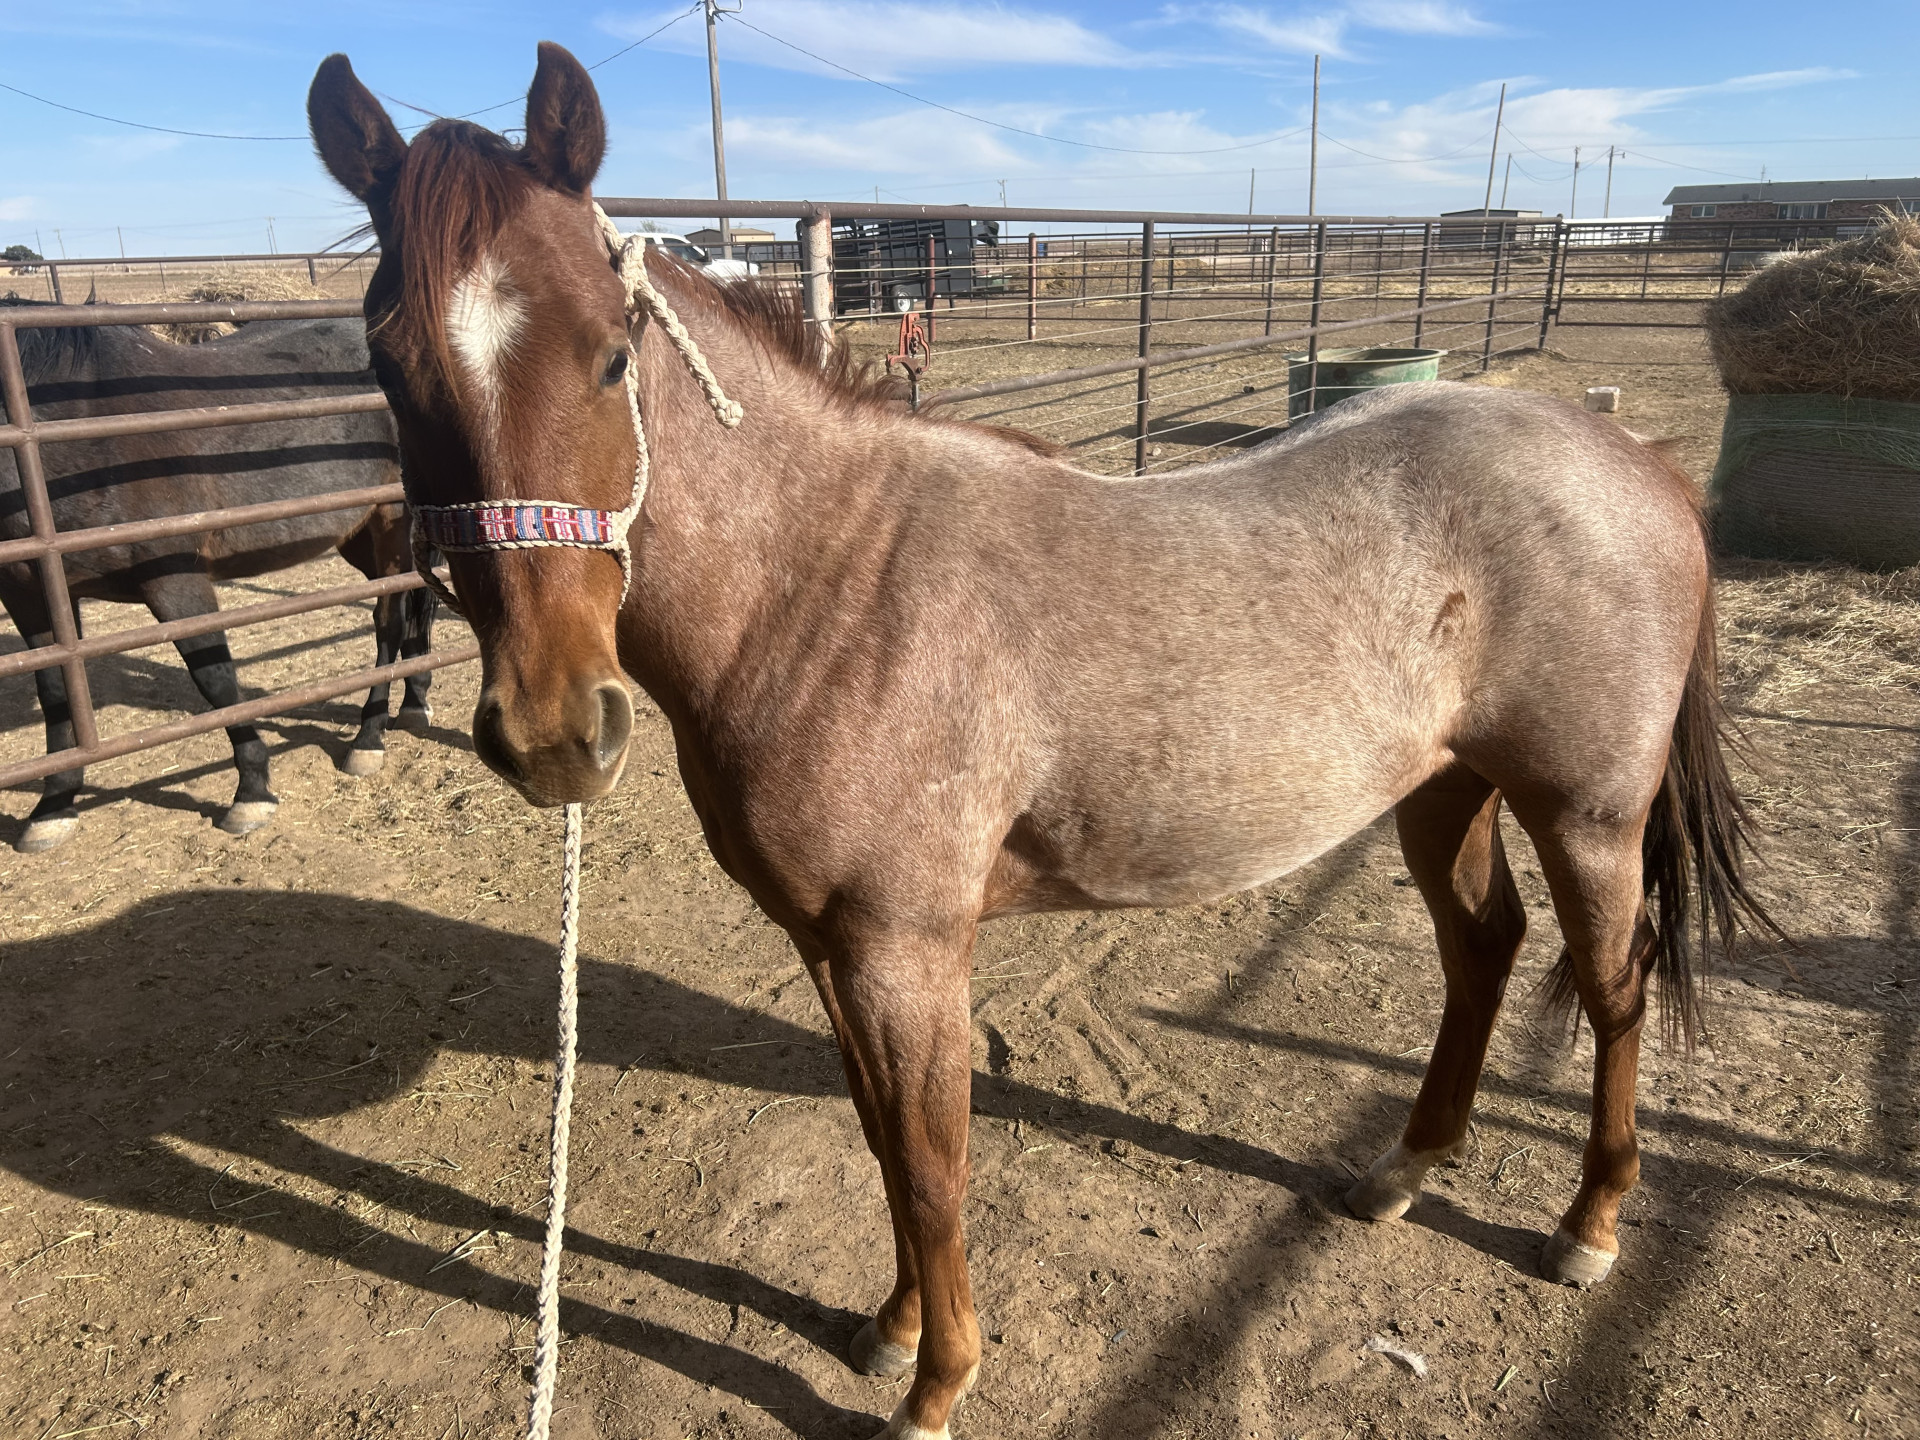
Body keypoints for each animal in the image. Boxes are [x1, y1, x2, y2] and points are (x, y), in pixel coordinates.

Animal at [0, 299, 439, 852]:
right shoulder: (31, 593)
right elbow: (56, 692)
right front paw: (53, 806)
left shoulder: (175, 580)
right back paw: (414, 702)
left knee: (390, 620)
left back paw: (369, 737)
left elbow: (215, 679)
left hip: (391, 520)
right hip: (356, 533)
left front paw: (251, 791)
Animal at [309, 44, 1776, 1440]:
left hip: (1587, 814)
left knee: (1615, 988)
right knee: (1483, 953)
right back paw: (1402, 1175)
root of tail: (1636, 461)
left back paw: (1586, 1232)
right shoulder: (832, 946)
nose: (554, 729)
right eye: (387, 366)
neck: (828, 585)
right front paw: (890, 1331)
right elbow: (882, 1145)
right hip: (1444, 790)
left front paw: (935, 1388)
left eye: (611, 354)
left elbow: (934, 1164)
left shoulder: (905, 951)